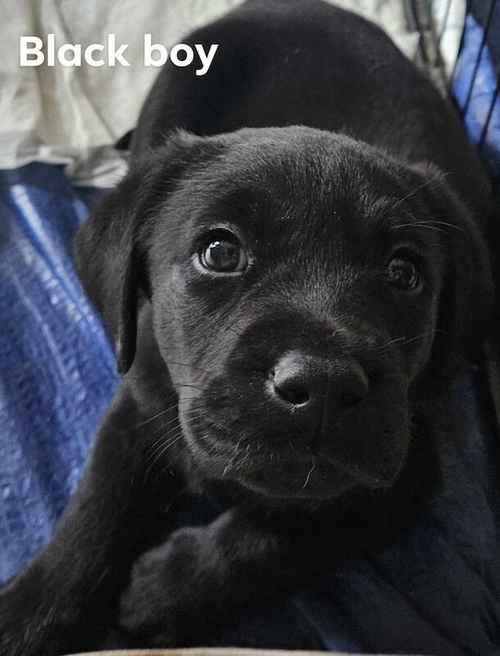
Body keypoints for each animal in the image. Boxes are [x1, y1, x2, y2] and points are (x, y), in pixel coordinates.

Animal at [0, 0, 494, 652]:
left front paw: (164, 588)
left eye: (404, 273)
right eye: (219, 252)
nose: (323, 386)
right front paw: (26, 615)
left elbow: (281, 535)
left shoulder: (400, 472)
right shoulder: (139, 401)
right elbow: (94, 513)